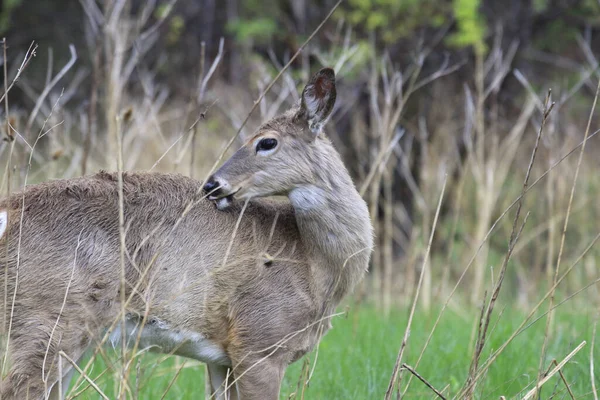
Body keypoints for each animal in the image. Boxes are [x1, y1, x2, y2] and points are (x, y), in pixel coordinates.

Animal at [0, 67, 372, 398]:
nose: (212, 185)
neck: (313, 263)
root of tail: (8, 210)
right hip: (50, 316)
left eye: (268, 142)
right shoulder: (260, 341)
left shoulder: (223, 358)